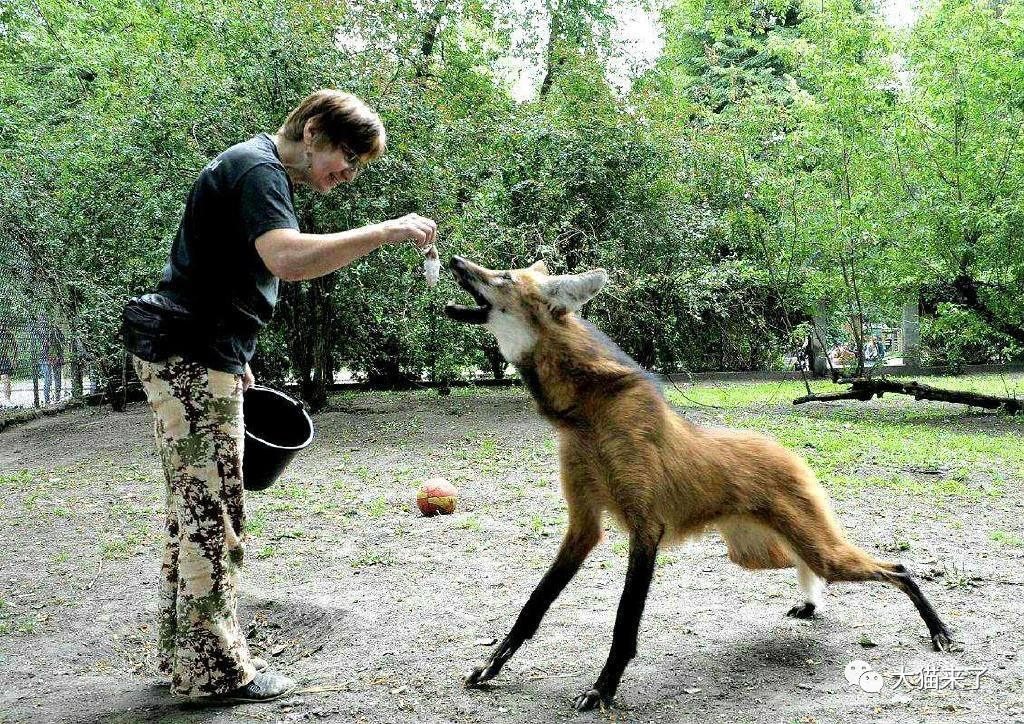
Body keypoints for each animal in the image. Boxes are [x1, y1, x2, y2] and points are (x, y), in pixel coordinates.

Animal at [444, 254, 954, 712]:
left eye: (502, 275)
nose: (454, 261)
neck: (586, 413)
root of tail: (789, 452)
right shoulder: (583, 526)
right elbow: (533, 606)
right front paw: (490, 667)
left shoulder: (645, 528)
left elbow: (624, 623)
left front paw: (603, 690)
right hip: (753, 552)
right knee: (805, 564)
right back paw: (812, 604)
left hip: (811, 547)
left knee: (895, 568)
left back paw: (938, 630)